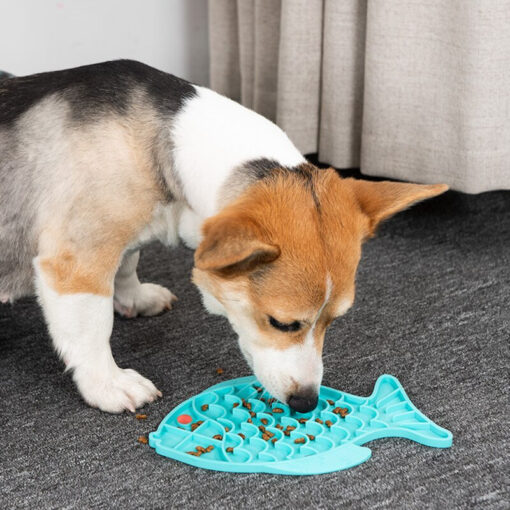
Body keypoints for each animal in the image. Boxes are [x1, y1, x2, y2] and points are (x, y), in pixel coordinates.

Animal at [0, 60, 446, 414]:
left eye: (334, 321)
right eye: (281, 323)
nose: (306, 403)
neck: (173, 142)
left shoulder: (126, 235)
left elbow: (128, 263)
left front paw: (134, 298)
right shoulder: (77, 262)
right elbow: (92, 329)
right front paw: (108, 384)